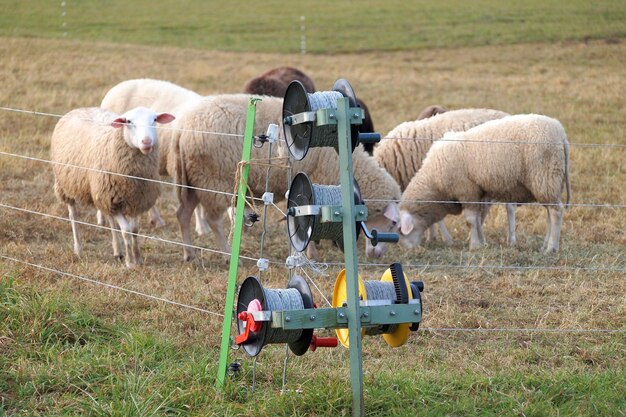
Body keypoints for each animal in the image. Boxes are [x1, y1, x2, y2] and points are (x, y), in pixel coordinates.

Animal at [49, 106, 173, 266]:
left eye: (154, 119)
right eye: (128, 121)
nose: (146, 141)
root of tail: (81, 108)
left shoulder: (135, 200)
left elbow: (134, 229)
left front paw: (138, 258)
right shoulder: (113, 198)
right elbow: (126, 230)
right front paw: (130, 262)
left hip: (106, 196)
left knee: (111, 221)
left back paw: (117, 251)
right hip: (66, 185)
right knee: (73, 216)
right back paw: (78, 249)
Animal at [167, 94, 400, 260]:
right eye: (393, 224)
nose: (376, 256)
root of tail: (182, 127)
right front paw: (311, 254)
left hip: (194, 180)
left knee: (183, 214)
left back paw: (189, 255)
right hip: (214, 179)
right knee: (213, 221)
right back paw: (227, 256)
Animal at [400, 112, 572, 252]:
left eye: (401, 230)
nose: (406, 249)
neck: (435, 181)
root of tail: (561, 134)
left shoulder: (466, 190)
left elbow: (470, 220)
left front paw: (474, 246)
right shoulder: (477, 191)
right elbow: (477, 219)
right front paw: (482, 243)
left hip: (545, 177)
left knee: (556, 212)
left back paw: (551, 248)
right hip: (549, 183)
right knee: (550, 213)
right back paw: (545, 245)